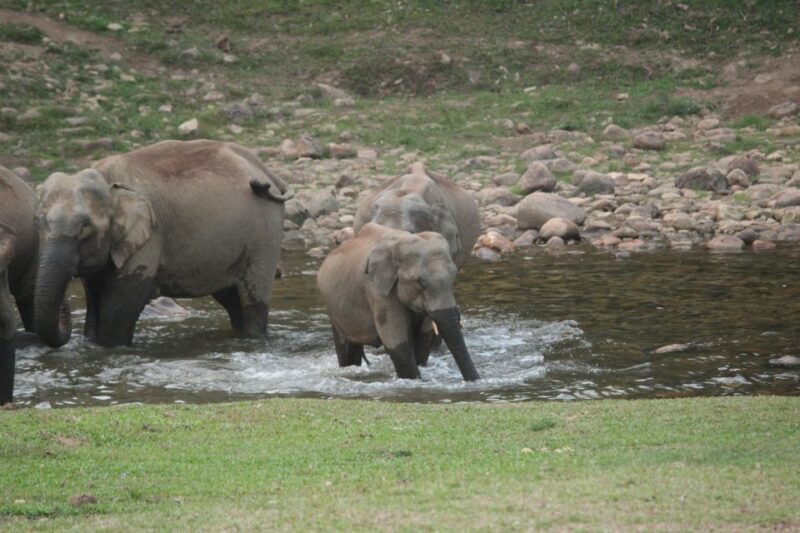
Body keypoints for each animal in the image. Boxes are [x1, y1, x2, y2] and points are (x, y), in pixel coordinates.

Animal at [34, 139, 293, 348]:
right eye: (39, 222)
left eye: (84, 227)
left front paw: (111, 347)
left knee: (252, 300)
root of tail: (266, 172)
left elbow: (122, 302)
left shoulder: (149, 238)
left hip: (264, 234)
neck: (107, 180)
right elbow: (95, 297)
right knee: (231, 299)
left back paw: (252, 338)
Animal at [317, 222, 480, 381]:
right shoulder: (376, 289)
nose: (476, 380)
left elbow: (423, 338)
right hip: (334, 310)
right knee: (347, 350)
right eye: (419, 282)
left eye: (454, 277)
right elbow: (397, 341)